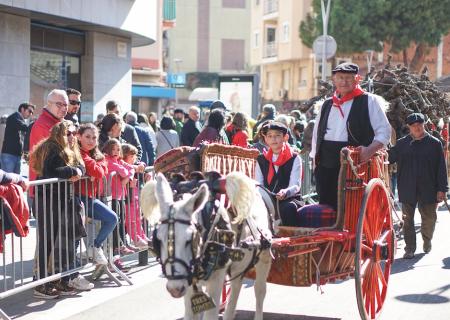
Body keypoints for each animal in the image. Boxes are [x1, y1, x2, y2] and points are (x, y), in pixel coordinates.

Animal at [142, 172, 272, 320]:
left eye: (189, 239)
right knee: (234, 293)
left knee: (259, 289)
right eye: (158, 239)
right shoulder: (189, 283)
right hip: (239, 268)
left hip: (264, 256)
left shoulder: (215, 281)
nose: (175, 289)